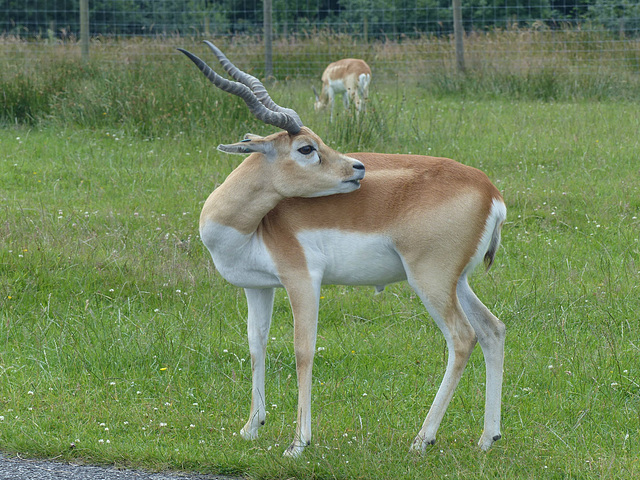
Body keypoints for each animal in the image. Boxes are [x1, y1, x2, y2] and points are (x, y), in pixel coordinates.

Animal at [179, 43, 504, 460]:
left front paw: (298, 442)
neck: (253, 225)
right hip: (457, 281)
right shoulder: (258, 287)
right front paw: (251, 427)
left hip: (429, 279)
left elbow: (303, 349)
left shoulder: (302, 280)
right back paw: (487, 438)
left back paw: (422, 439)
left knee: (463, 338)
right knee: (493, 330)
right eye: (306, 147)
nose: (357, 167)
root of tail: (490, 191)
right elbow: (256, 344)